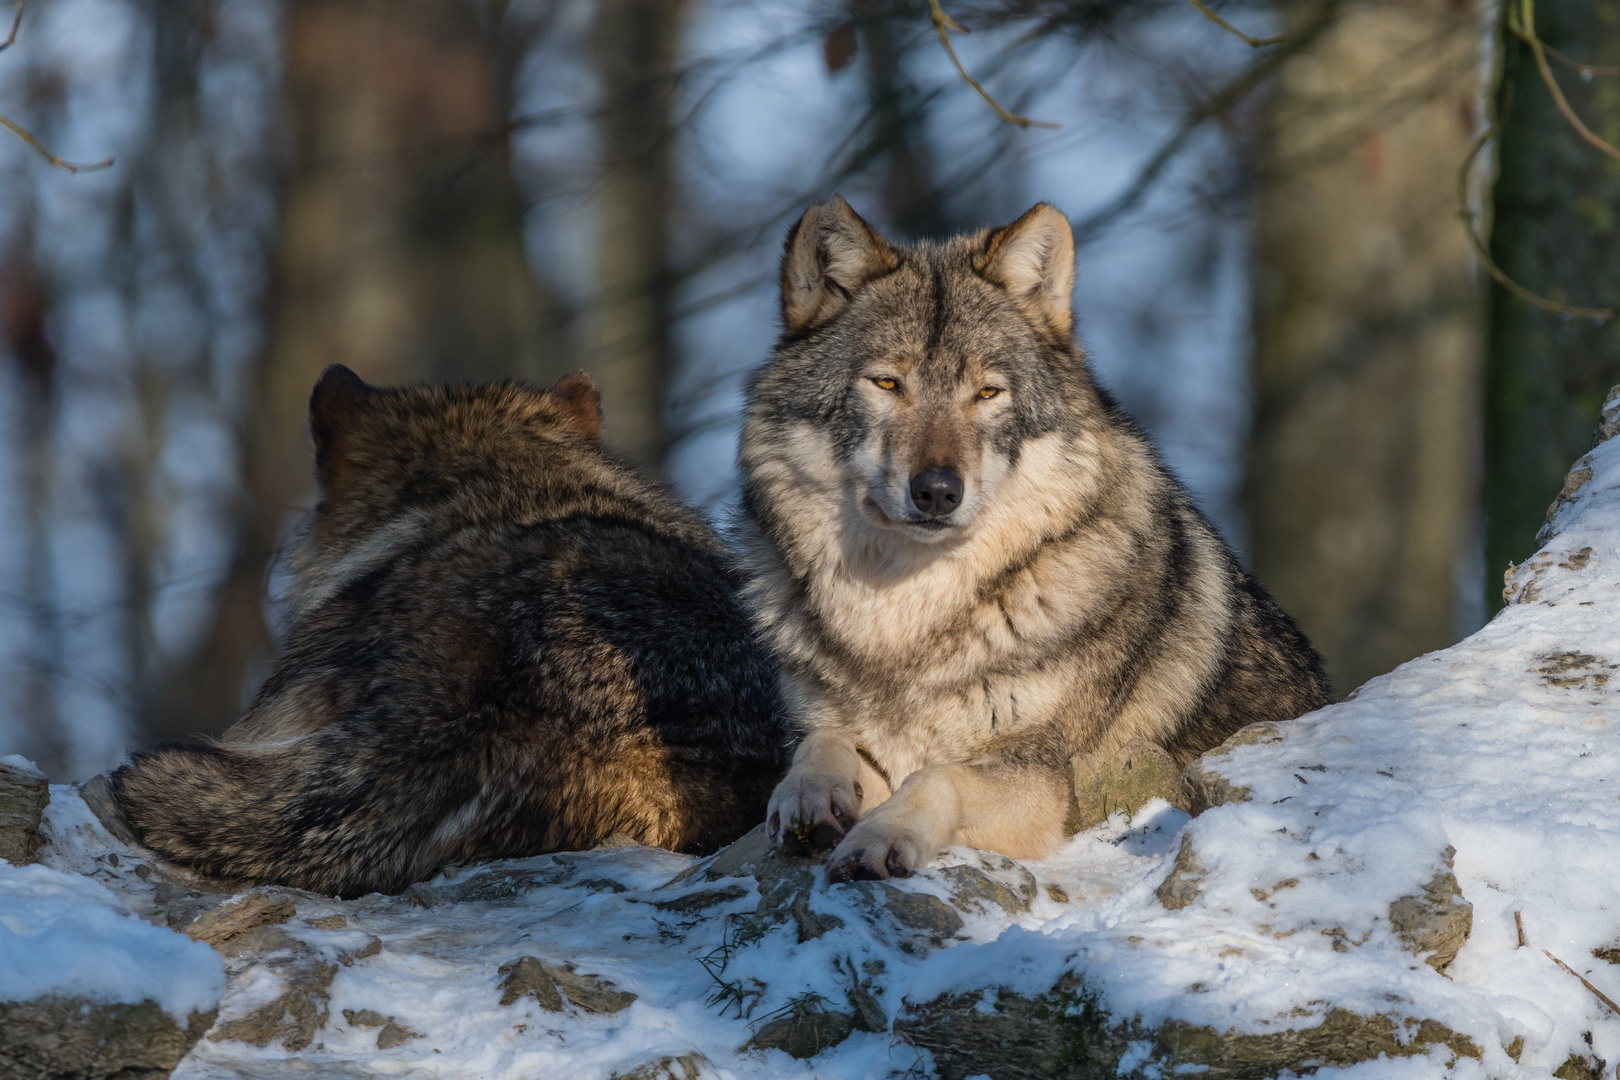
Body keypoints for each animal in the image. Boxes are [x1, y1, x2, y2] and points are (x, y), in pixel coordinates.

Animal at [738, 198, 1328, 880]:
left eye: (987, 392)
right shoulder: (844, 729)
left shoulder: (1046, 778)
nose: (937, 491)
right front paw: (809, 795)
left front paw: (880, 837)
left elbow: (937, 777)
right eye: (887, 384)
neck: (906, 623)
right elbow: (822, 740)